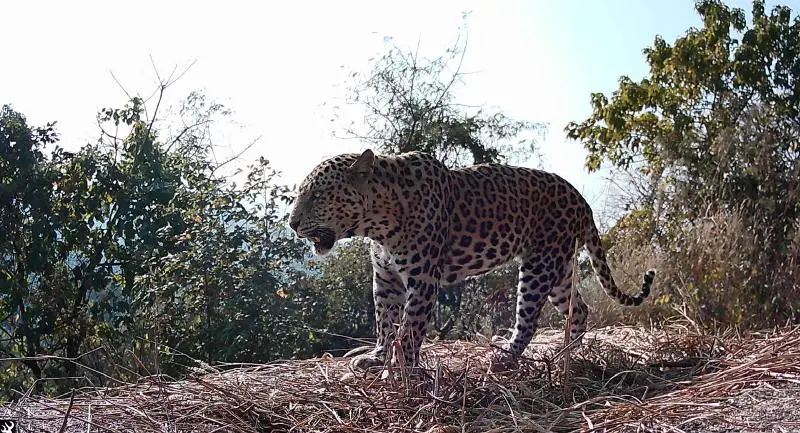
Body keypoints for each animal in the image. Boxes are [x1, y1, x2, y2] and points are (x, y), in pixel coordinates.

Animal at [289, 149, 655, 370]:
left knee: (529, 320)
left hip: (539, 267)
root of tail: (581, 199)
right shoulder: (386, 277)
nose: (291, 224)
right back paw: (563, 353)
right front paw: (378, 356)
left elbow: (409, 328)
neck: (377, 222)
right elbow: (385, 320)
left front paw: (400, 372)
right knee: (578, 309)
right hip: (559, 267)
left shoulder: (422, 278)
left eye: (317, 196)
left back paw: (506, 357)